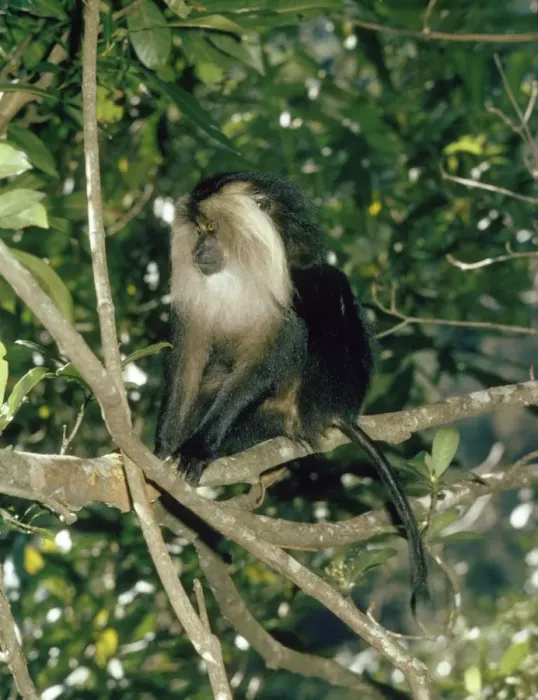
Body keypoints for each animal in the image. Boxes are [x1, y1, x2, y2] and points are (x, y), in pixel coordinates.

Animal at [155, 171, 428, 606]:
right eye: (196, 230)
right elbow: (190, 358)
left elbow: (279, 346)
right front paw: (162, 450)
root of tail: (337, 411)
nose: (198, 249)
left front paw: (197, 450)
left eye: (211, 228)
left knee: (322, 289)